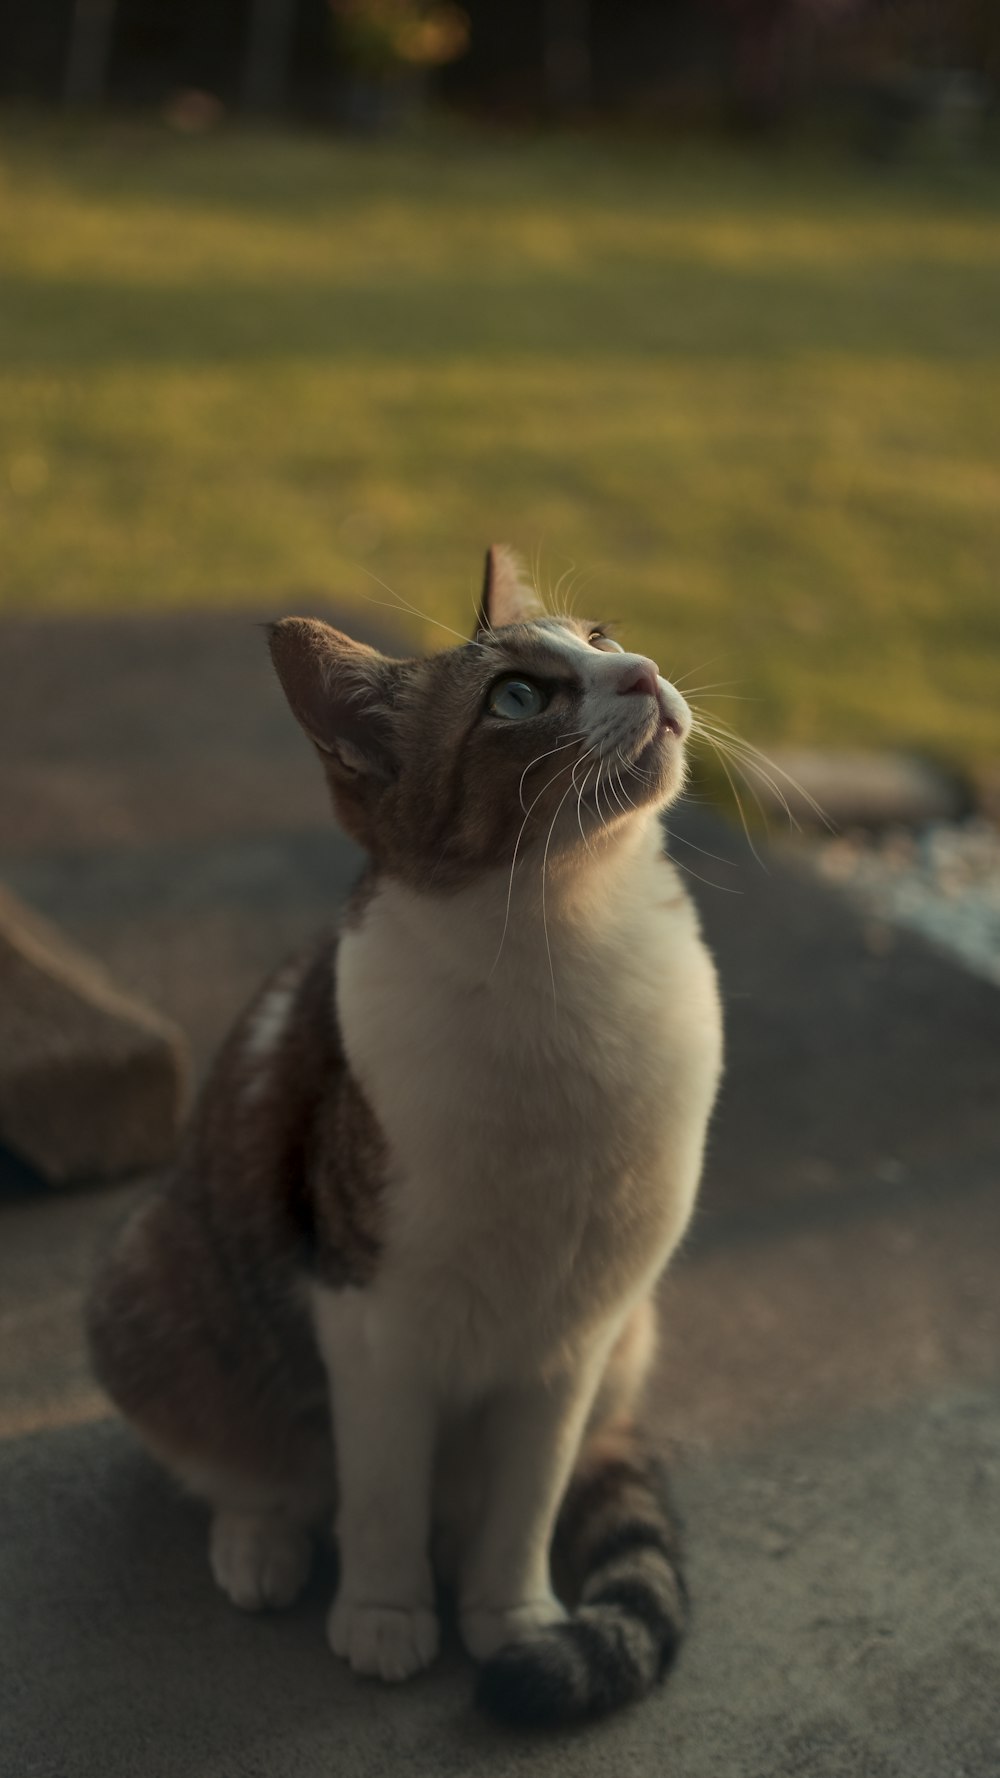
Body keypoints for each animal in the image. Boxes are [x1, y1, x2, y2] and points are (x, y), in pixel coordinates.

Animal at [85, 547, 718, 1728]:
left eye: (603, 637)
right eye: (516, 697)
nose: (645, 672)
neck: (571, 938)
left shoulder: (577, 1331)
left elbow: (528, 1494)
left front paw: (513, 1613)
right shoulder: (369, 1316)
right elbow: (379, 1488)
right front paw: (385, 1612)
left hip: (635, 1336)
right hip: (150, 1278)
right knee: (256, 1463)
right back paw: (263, 1540)